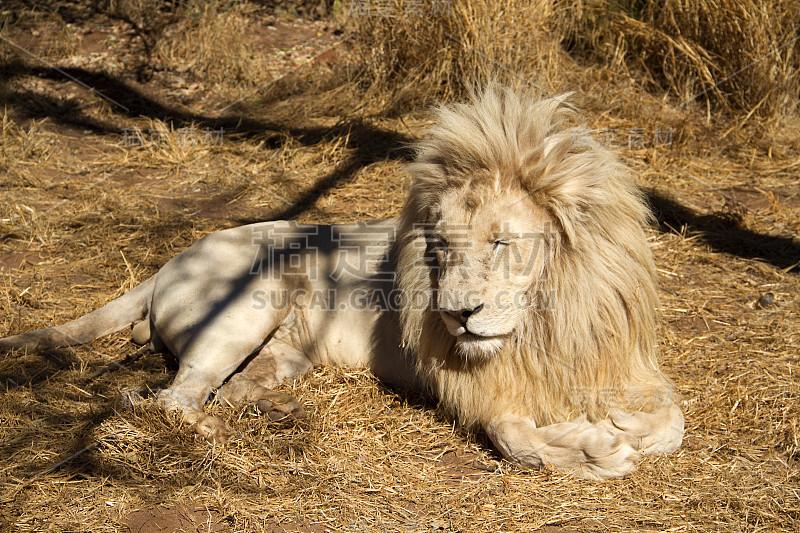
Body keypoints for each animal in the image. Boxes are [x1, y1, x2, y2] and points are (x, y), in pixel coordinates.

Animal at [3, 86, 684, 478]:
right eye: (439, 248)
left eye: (501, 242)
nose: (457, 315)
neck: (546, 320)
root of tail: (168, 262)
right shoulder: (471, 386)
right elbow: (515, 437)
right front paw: (593, 449)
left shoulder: (627, 360)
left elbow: (674, 423)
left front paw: (630, 430)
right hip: (252, 299)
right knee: (172, 400)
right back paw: (223, 437)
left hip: (285, 351)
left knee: (226, 390)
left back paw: (275, 412)